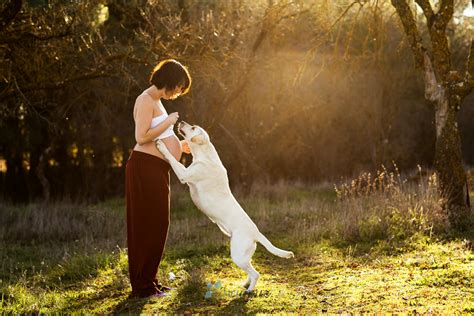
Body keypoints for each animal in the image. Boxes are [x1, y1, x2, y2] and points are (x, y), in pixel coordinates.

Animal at [157, 120, 294, 292]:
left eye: (193, 128)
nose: (181, 121)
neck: (205, 155)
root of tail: (256, 233)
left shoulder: (184, 174)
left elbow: (171, 158)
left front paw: (161, 146)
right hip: (243, 256)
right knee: (250, 270)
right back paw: (245, 284)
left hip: (237, 255)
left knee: (256, 273)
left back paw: (249, 290)